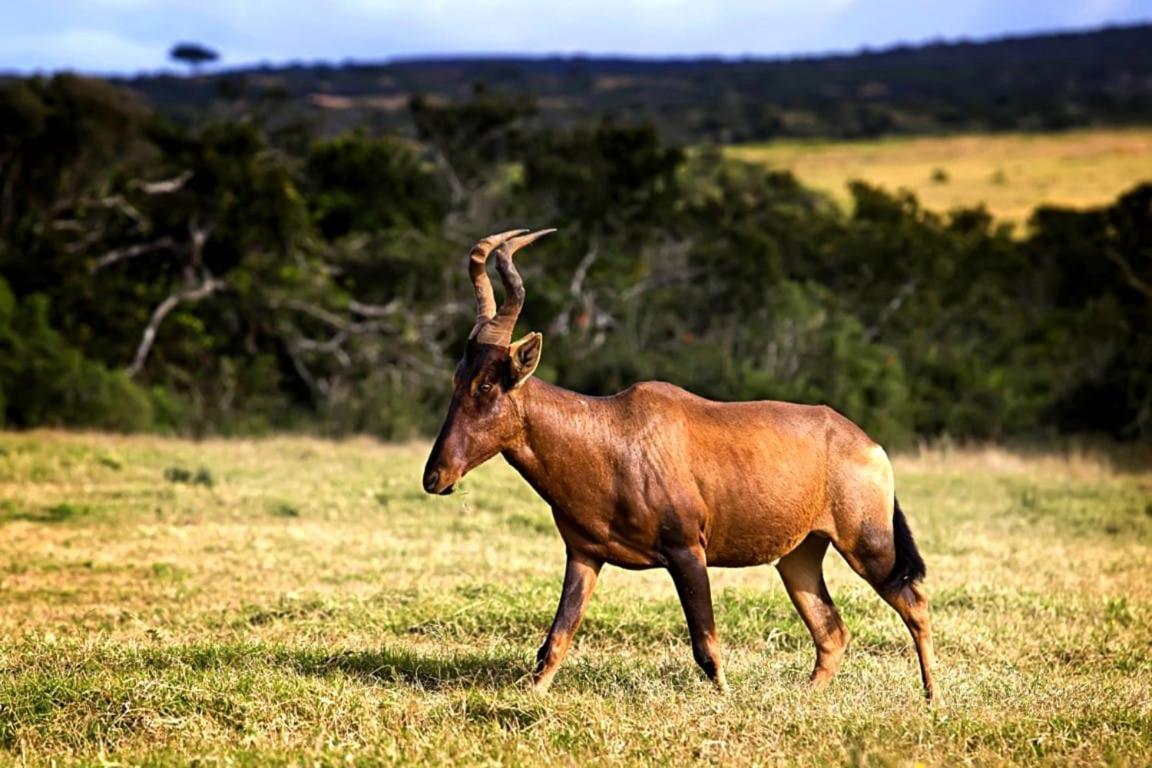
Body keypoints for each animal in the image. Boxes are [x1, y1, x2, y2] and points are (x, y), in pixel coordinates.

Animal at [423, 230, 935, 704]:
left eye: (488, 384)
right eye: (457, 378)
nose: (436, 477)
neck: (613, 431)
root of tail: (869, 444)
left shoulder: (688, 552)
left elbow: (706, 648)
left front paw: (726, 701)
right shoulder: (584, 555)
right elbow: (555, 641)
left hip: (868, 546)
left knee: (914, 603)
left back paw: (933, 699)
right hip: (800, 555)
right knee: (832, 632)